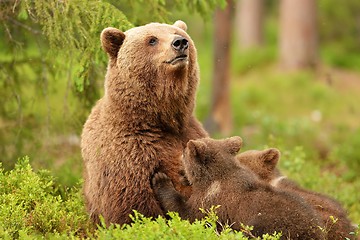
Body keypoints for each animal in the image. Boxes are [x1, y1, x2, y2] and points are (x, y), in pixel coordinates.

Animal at [80, 20, 207, 225]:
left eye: (178, 33)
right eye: (152, 40)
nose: (180, 43)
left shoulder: (190, 133)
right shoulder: (129, 153)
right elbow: (134, 207)